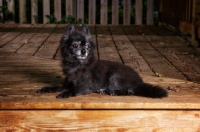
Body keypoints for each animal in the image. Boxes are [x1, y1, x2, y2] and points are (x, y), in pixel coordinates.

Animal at [37, 24, 167, 98]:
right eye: (75, 45)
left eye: (87, 46)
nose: (84, 51)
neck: (78, 64)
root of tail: (140, 82)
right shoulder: (68, 83)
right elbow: (56, 86)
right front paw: (46, 89)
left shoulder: (86, 86)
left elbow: (74, 89)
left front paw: (64, 94)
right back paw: (103, 90)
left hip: (115, 76)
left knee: (129, 91)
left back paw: (113, 92)